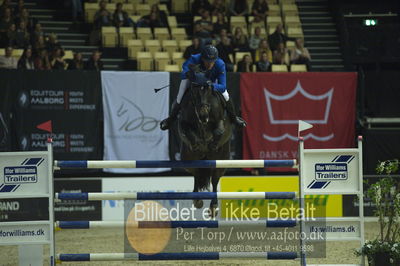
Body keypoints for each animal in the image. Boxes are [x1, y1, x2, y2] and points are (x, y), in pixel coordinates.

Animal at [177, 68, 231, 216]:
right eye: (194, 91)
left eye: (208, 90)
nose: (203, 116)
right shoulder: (184, 123)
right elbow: (187, 130)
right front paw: (197, 143)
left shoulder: (220, 122)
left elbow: (219, 131)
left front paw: (211, 144)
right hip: (187, 159)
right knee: (196, 172)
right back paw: (197, 200)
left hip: (221, 160)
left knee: (215, 179)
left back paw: (213, 206)